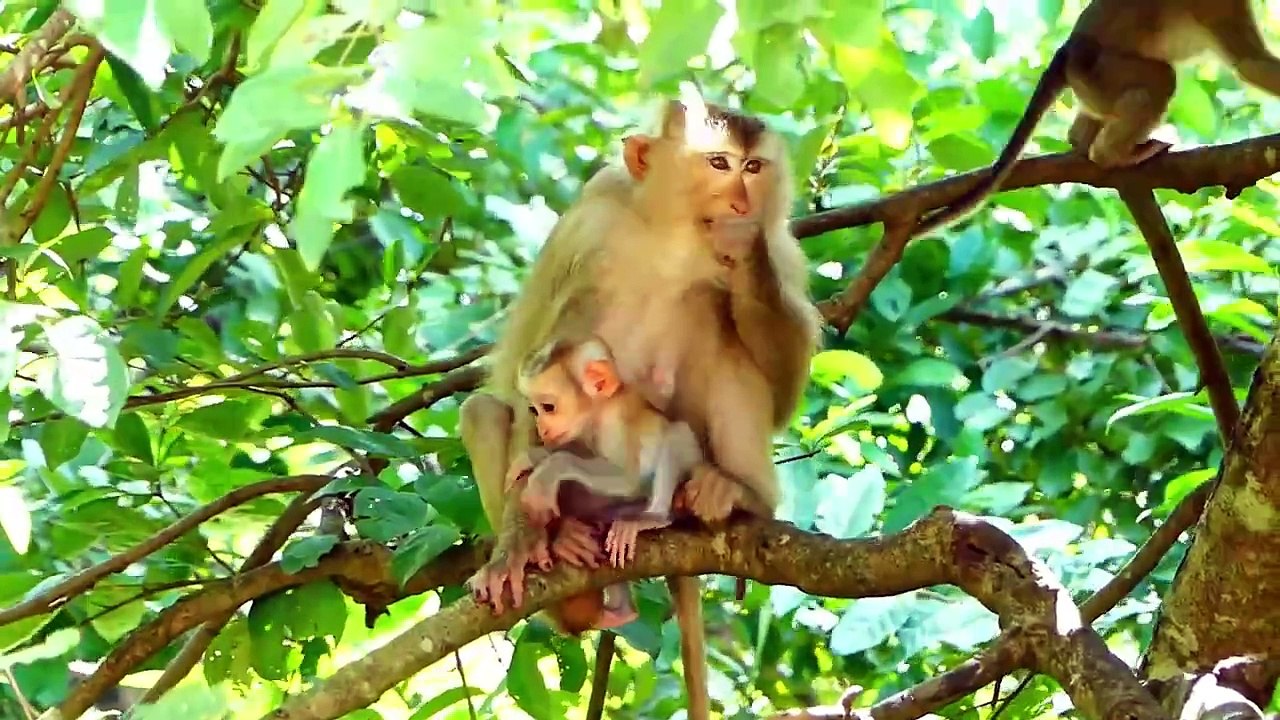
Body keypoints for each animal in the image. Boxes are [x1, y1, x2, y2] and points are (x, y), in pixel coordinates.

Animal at [459, 92, 822, 719]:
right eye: (719, 163)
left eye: (754, 167)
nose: (742, 200)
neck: (674, 239)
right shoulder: (589, 224)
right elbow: (533, 360)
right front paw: (520, 542)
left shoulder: (781, 244)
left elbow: (782, 390)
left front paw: (743, 249)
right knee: (483, 412)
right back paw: (565, 559)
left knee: (717, 322)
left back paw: (739, 495)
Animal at [914, 0, 1280, 236]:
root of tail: (1066, 50)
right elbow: (1250, 64)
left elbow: (1251, 64)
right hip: (1102, 70)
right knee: (1162, 79)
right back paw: (1111, 154)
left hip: (1090, 85)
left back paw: (1080, 141)